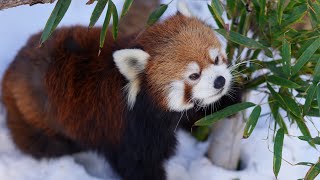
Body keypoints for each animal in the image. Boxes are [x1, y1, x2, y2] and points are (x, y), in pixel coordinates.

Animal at [0, 2, 238, 180]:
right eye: (194, 75)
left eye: (216, 59)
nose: (220, 81)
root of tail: (10, 71)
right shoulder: (127, 131)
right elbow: (137, 165)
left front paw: (231, 100)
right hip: (37, 122)